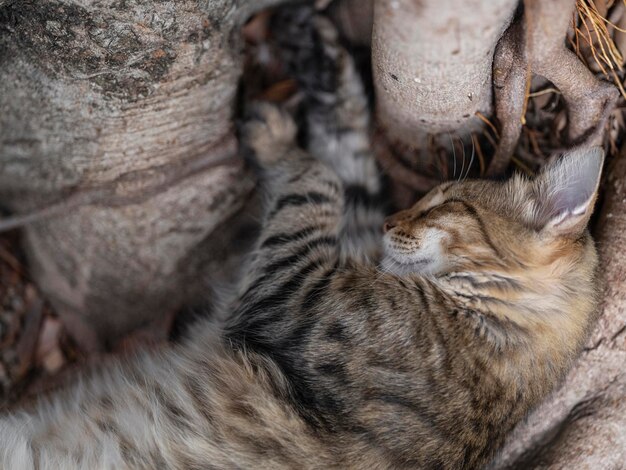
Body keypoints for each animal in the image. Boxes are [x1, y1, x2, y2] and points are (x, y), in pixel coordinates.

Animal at [0, 14, 604, 470]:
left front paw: (275, 137)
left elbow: (320, 180)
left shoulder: (299, 292)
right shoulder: (344, 245)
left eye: (443, 203)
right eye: (420, 199)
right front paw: (321, 56)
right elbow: (347, 156)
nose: (391, 223)